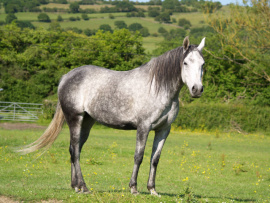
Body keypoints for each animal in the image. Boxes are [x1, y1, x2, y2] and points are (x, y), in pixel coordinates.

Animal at [18, 36, 205, 197]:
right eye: (185, 62)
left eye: (203, 64)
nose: (196, 89)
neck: (158, 88)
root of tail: (66, 77)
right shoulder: (143, 127)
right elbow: (139, 156)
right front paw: (133, 188)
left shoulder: (164, 129)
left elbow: (155, 159)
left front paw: (152, 190)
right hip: (75, 119)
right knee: (76, 152)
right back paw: (84, 187)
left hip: (87, 122)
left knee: (74, 149)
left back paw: (76, 186)